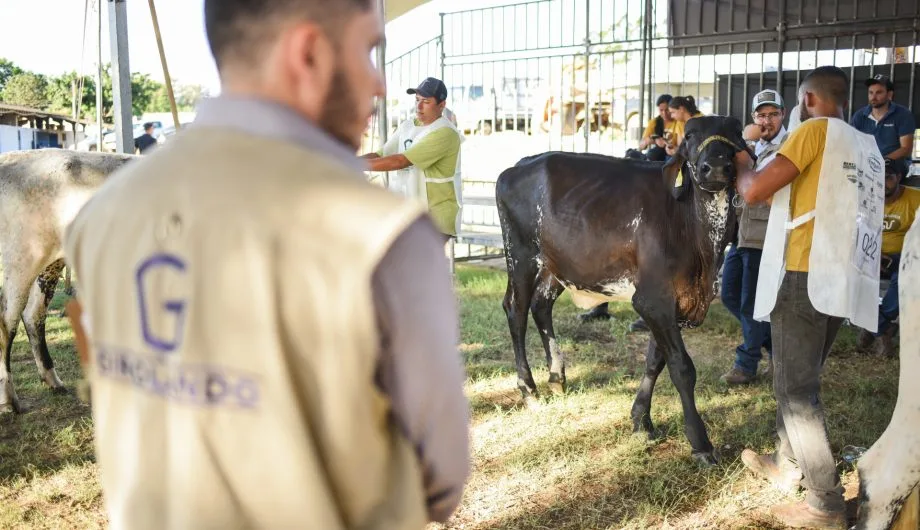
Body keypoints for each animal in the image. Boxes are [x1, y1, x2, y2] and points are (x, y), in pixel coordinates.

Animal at [0, 146, 135, 410]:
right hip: (21, 258)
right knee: (6, 321)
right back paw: (9, 399)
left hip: (51, 261)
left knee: (34, 314)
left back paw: (53, 380)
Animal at [496, 115, 748, 462]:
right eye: (690, 135)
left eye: (736, 132)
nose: (717, 166)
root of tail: (517, 166)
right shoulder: (652, 299)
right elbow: (681, 366)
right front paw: (701, 443)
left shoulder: (673, 303)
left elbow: (655, 360)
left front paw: (641, 420)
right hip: (519, 253)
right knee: (516, 309)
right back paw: (529, 390)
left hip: (556, 264)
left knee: (541, 306)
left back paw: (557, 378)